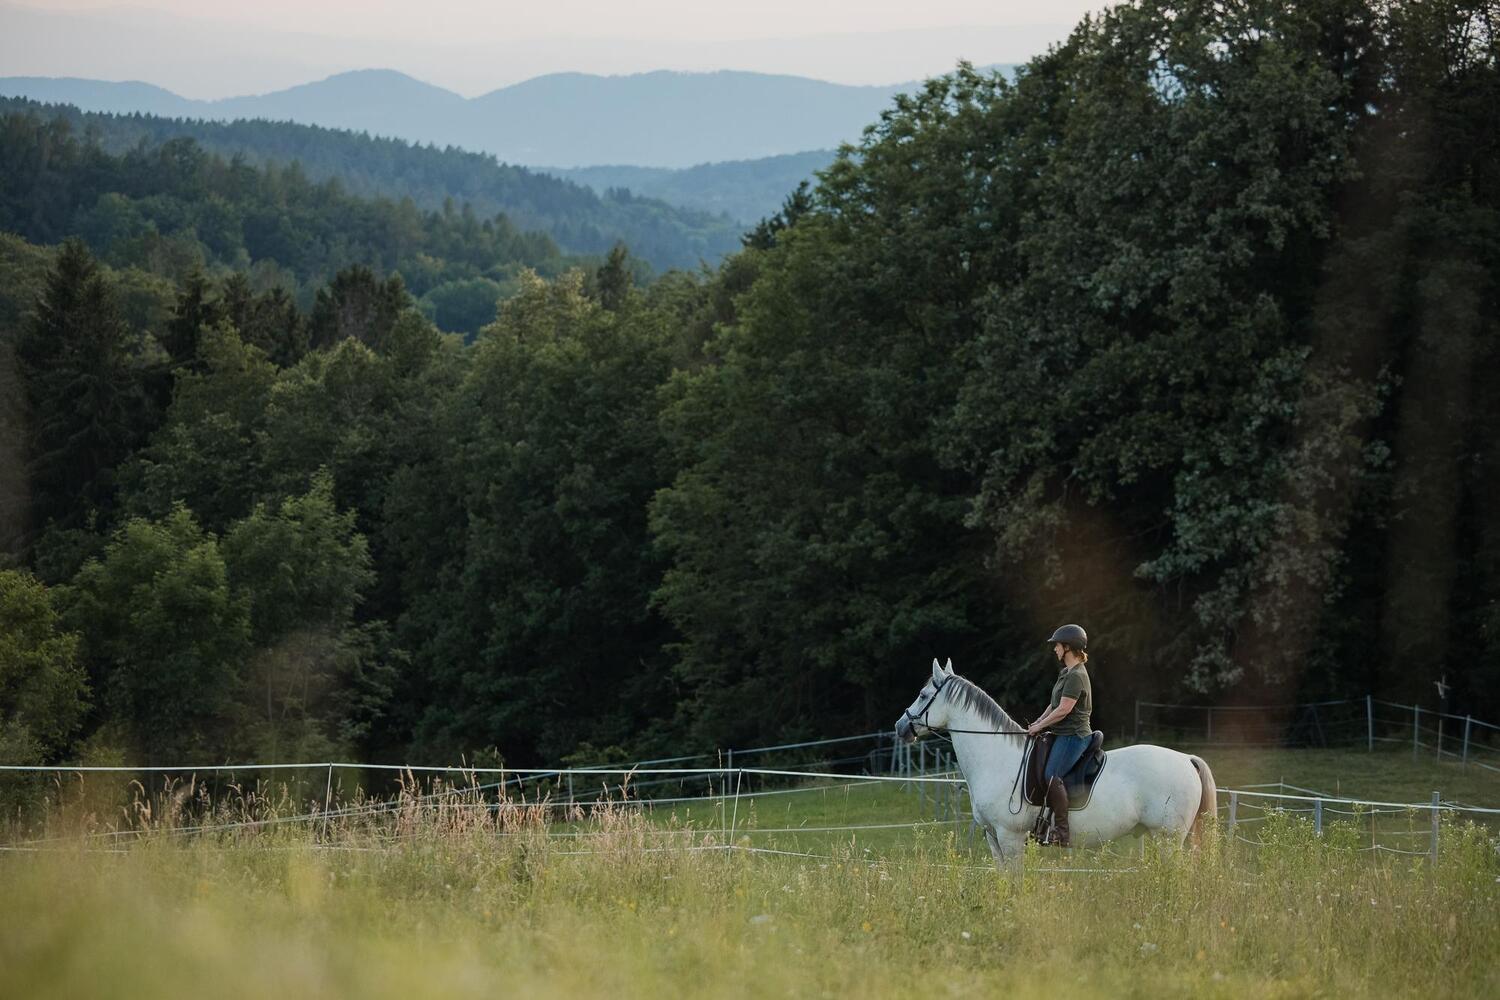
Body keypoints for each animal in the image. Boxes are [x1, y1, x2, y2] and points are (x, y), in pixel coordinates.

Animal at [894, 659, 1212, 863]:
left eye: (923, 694)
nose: (900, 726)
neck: (996, 761)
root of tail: (1187, 759)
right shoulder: (993, 838)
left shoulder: (1010, 837)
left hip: (1168, 838)